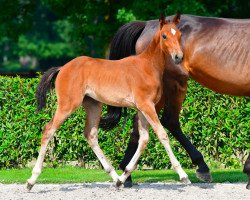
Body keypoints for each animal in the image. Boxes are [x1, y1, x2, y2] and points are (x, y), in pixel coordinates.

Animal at [26, 12, 189, 191]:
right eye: (164, 35)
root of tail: (62, 68)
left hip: (93, 106)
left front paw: (125, 175)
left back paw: (115, 177)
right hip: (67, 105)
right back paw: (31, 180)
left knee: (90, 135)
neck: (148, 66)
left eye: (179, 35)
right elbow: (162, 135)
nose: (178, 56)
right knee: (48, 130)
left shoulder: (142, 108)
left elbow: (144, 139)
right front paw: (183, 175)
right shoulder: (147, 106)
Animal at [100, 14, 250, 188]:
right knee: (169, 121)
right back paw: (201, 167)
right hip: (173, 84)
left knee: (142, 123)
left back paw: (127, 175)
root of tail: (147, 24)